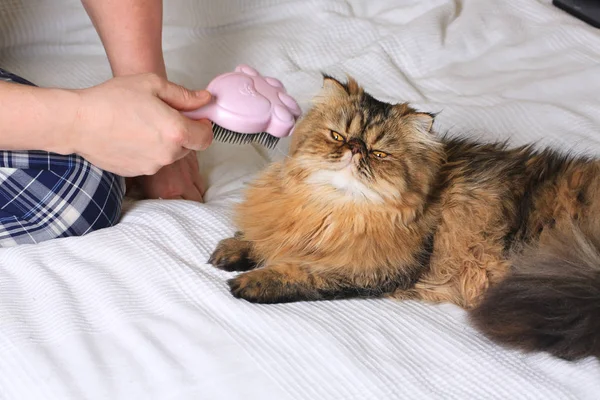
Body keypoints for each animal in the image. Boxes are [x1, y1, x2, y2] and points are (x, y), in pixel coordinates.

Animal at [207, 75, 600, 362]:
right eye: (337, 135)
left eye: (379, 152)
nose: (355, 148)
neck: (335, 209)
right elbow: (261, 236)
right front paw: (234, 249)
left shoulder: (374, 268)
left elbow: (303, 272)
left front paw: (253, 282)